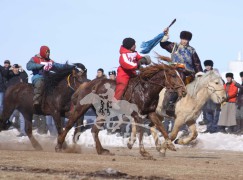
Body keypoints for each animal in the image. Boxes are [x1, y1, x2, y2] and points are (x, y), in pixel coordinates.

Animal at [56, 64, 187, 157]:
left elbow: (161, 127)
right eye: (173, 75)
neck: (145, 89)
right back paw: (59, 144)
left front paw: (170, 145)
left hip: (103, 113)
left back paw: (101, 150)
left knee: (94, 130)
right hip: (81, 107)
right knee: (70, 123)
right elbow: (140, 131)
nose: (184, 91)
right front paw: (144, 152)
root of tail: (88, 84)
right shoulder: (137, 115)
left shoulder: (150, 113)